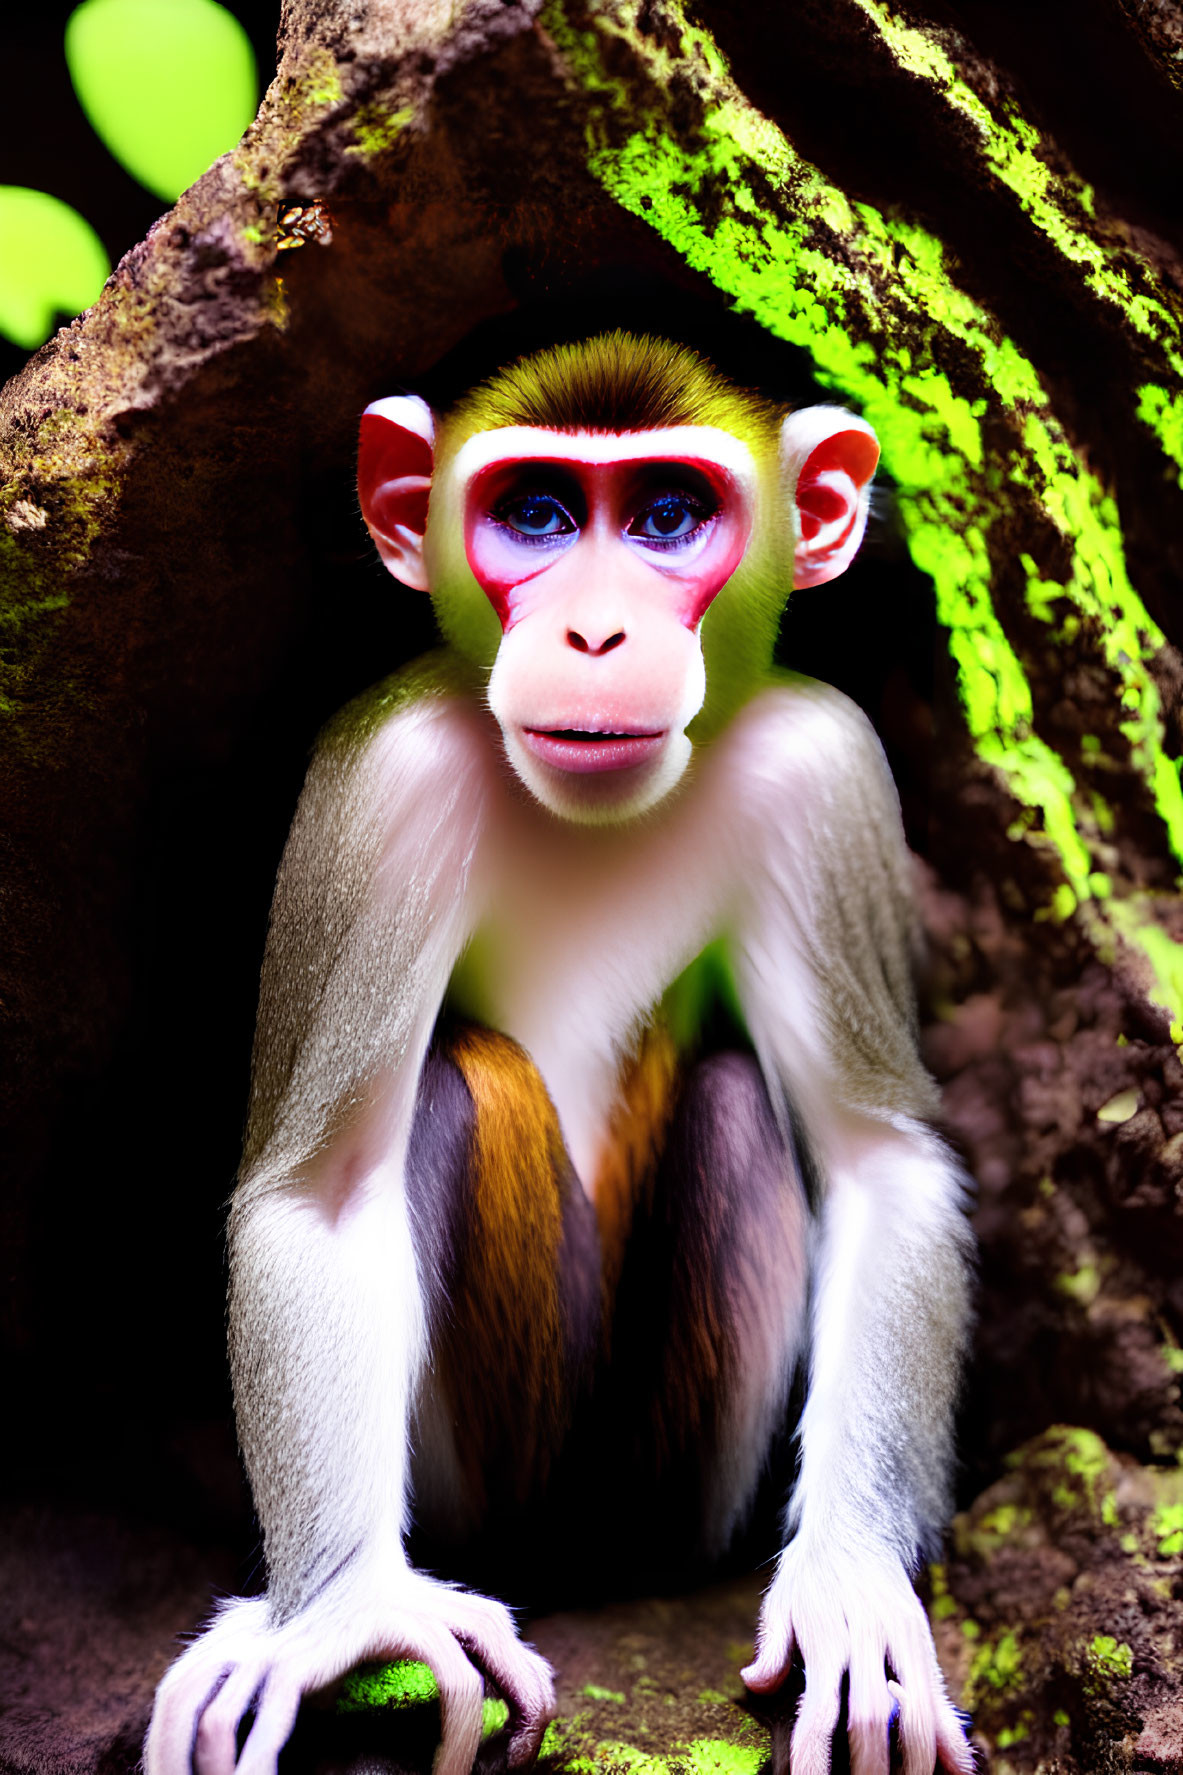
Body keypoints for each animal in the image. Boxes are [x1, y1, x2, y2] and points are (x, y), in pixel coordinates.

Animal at [144, 333, 966, 1775]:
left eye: (666, 517)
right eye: (533, 513)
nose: (592, 632)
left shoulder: (822, 766)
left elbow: (880, 1156)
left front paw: (851, 1576)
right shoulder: (383, 771)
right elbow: (321, 1189)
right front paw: (349, 1604)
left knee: (732, 1100)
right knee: (451, 1089)